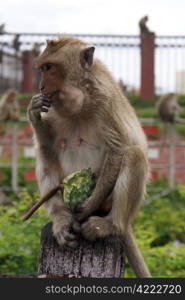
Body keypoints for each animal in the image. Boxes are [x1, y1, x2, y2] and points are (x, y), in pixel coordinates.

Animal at [27, 36, 152, 278]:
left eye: (50, 68)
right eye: (42, 68)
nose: (40, 86)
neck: (81, 98)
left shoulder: (106, 102)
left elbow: (118, 148)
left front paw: (87, 204)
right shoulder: (52, 107)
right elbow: (48, 147)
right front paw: (34, 111)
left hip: (109, 205)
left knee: (134, 155)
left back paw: (112, 224)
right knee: (45, 160)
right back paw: (61, 217)